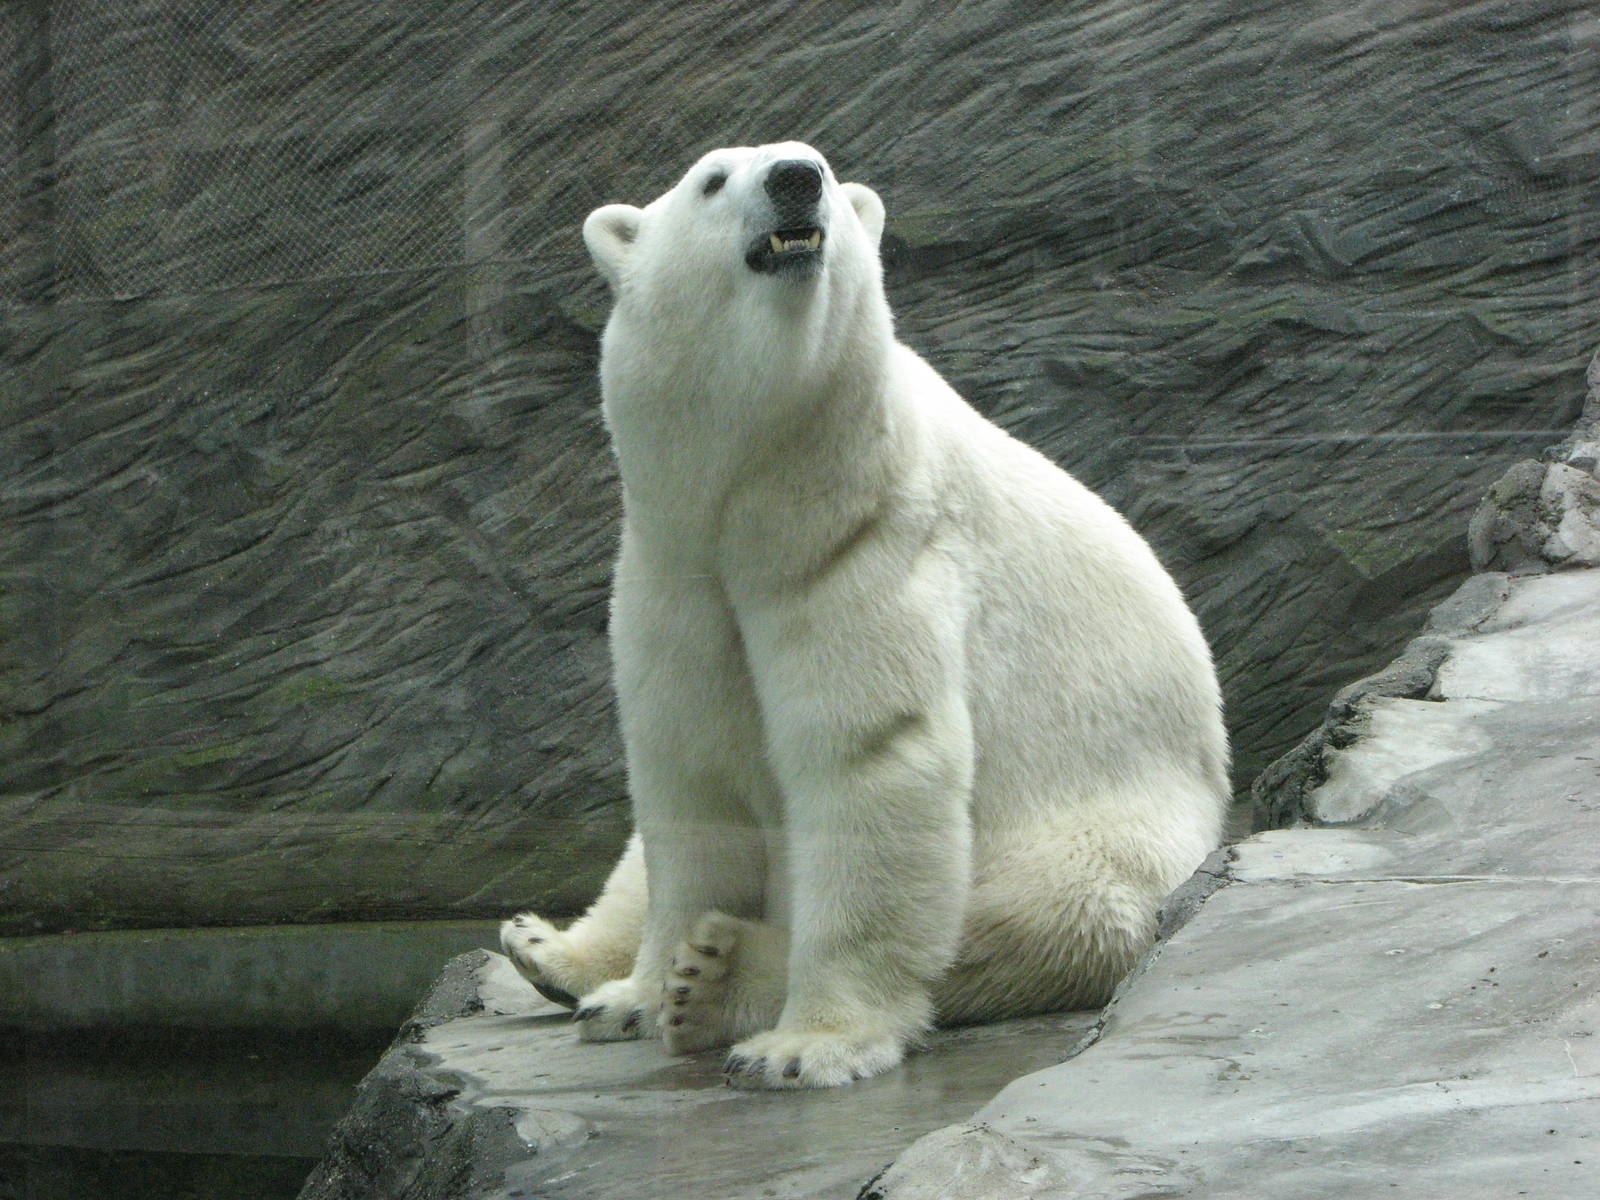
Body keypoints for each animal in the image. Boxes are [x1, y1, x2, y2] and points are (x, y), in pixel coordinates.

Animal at [500, 142, 1228, 1090]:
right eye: (712, 179)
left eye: (819, 163)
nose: (796, 179)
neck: (763, 507)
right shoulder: (673, 573)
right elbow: (688, 779)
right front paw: (646, 988)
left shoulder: (868, 555)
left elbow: (871, 761)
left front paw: (799, 1043)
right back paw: (560, 958)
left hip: (1110, 831)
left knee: (1033, 914)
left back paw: (722, 976)